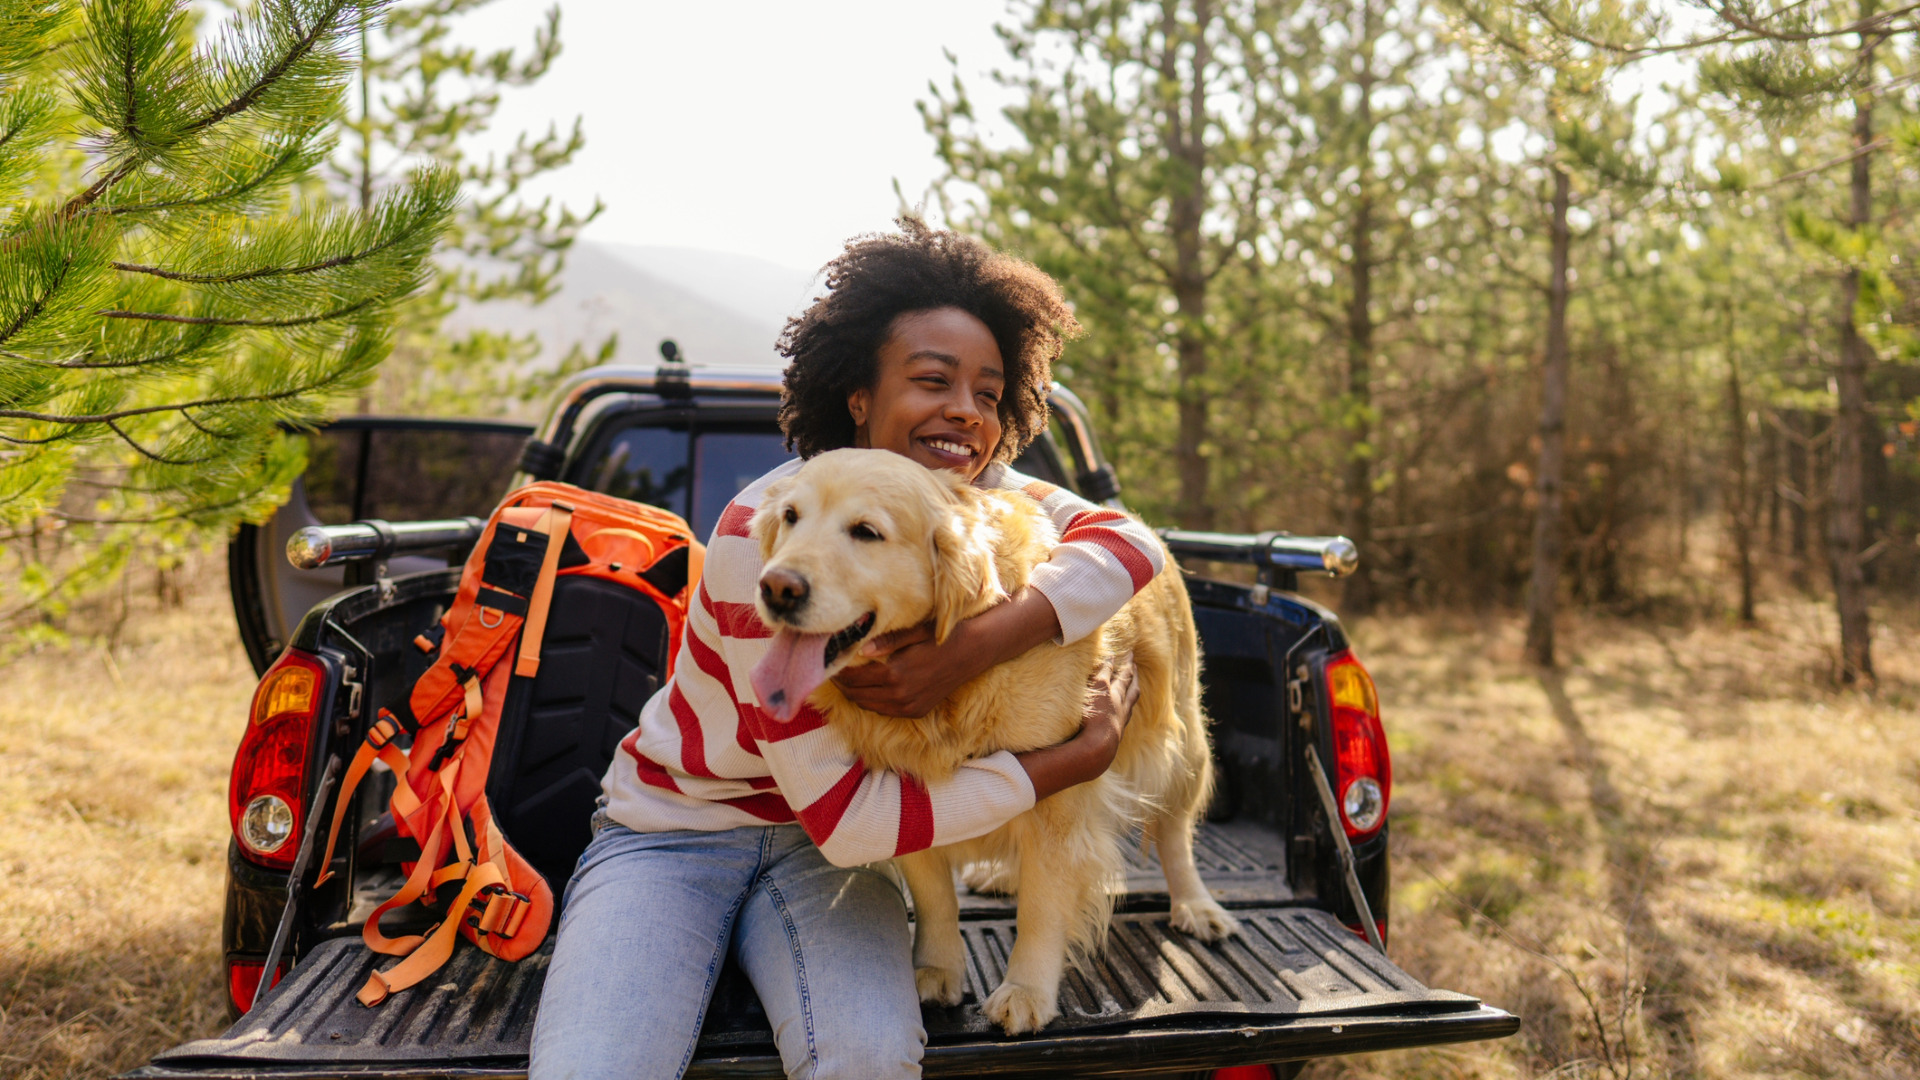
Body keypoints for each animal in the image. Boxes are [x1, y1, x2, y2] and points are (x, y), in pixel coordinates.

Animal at [741, 447, 1236, 1037]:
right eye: (791, 517)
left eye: (866, 531)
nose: (776, 588)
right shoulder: (907, 788)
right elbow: (935, 895)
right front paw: (936, 968)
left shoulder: (1059, 798)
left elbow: (1043, 906)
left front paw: (1026, 990)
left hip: (1181, 743)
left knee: (1174, 831)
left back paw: (1197, 906)